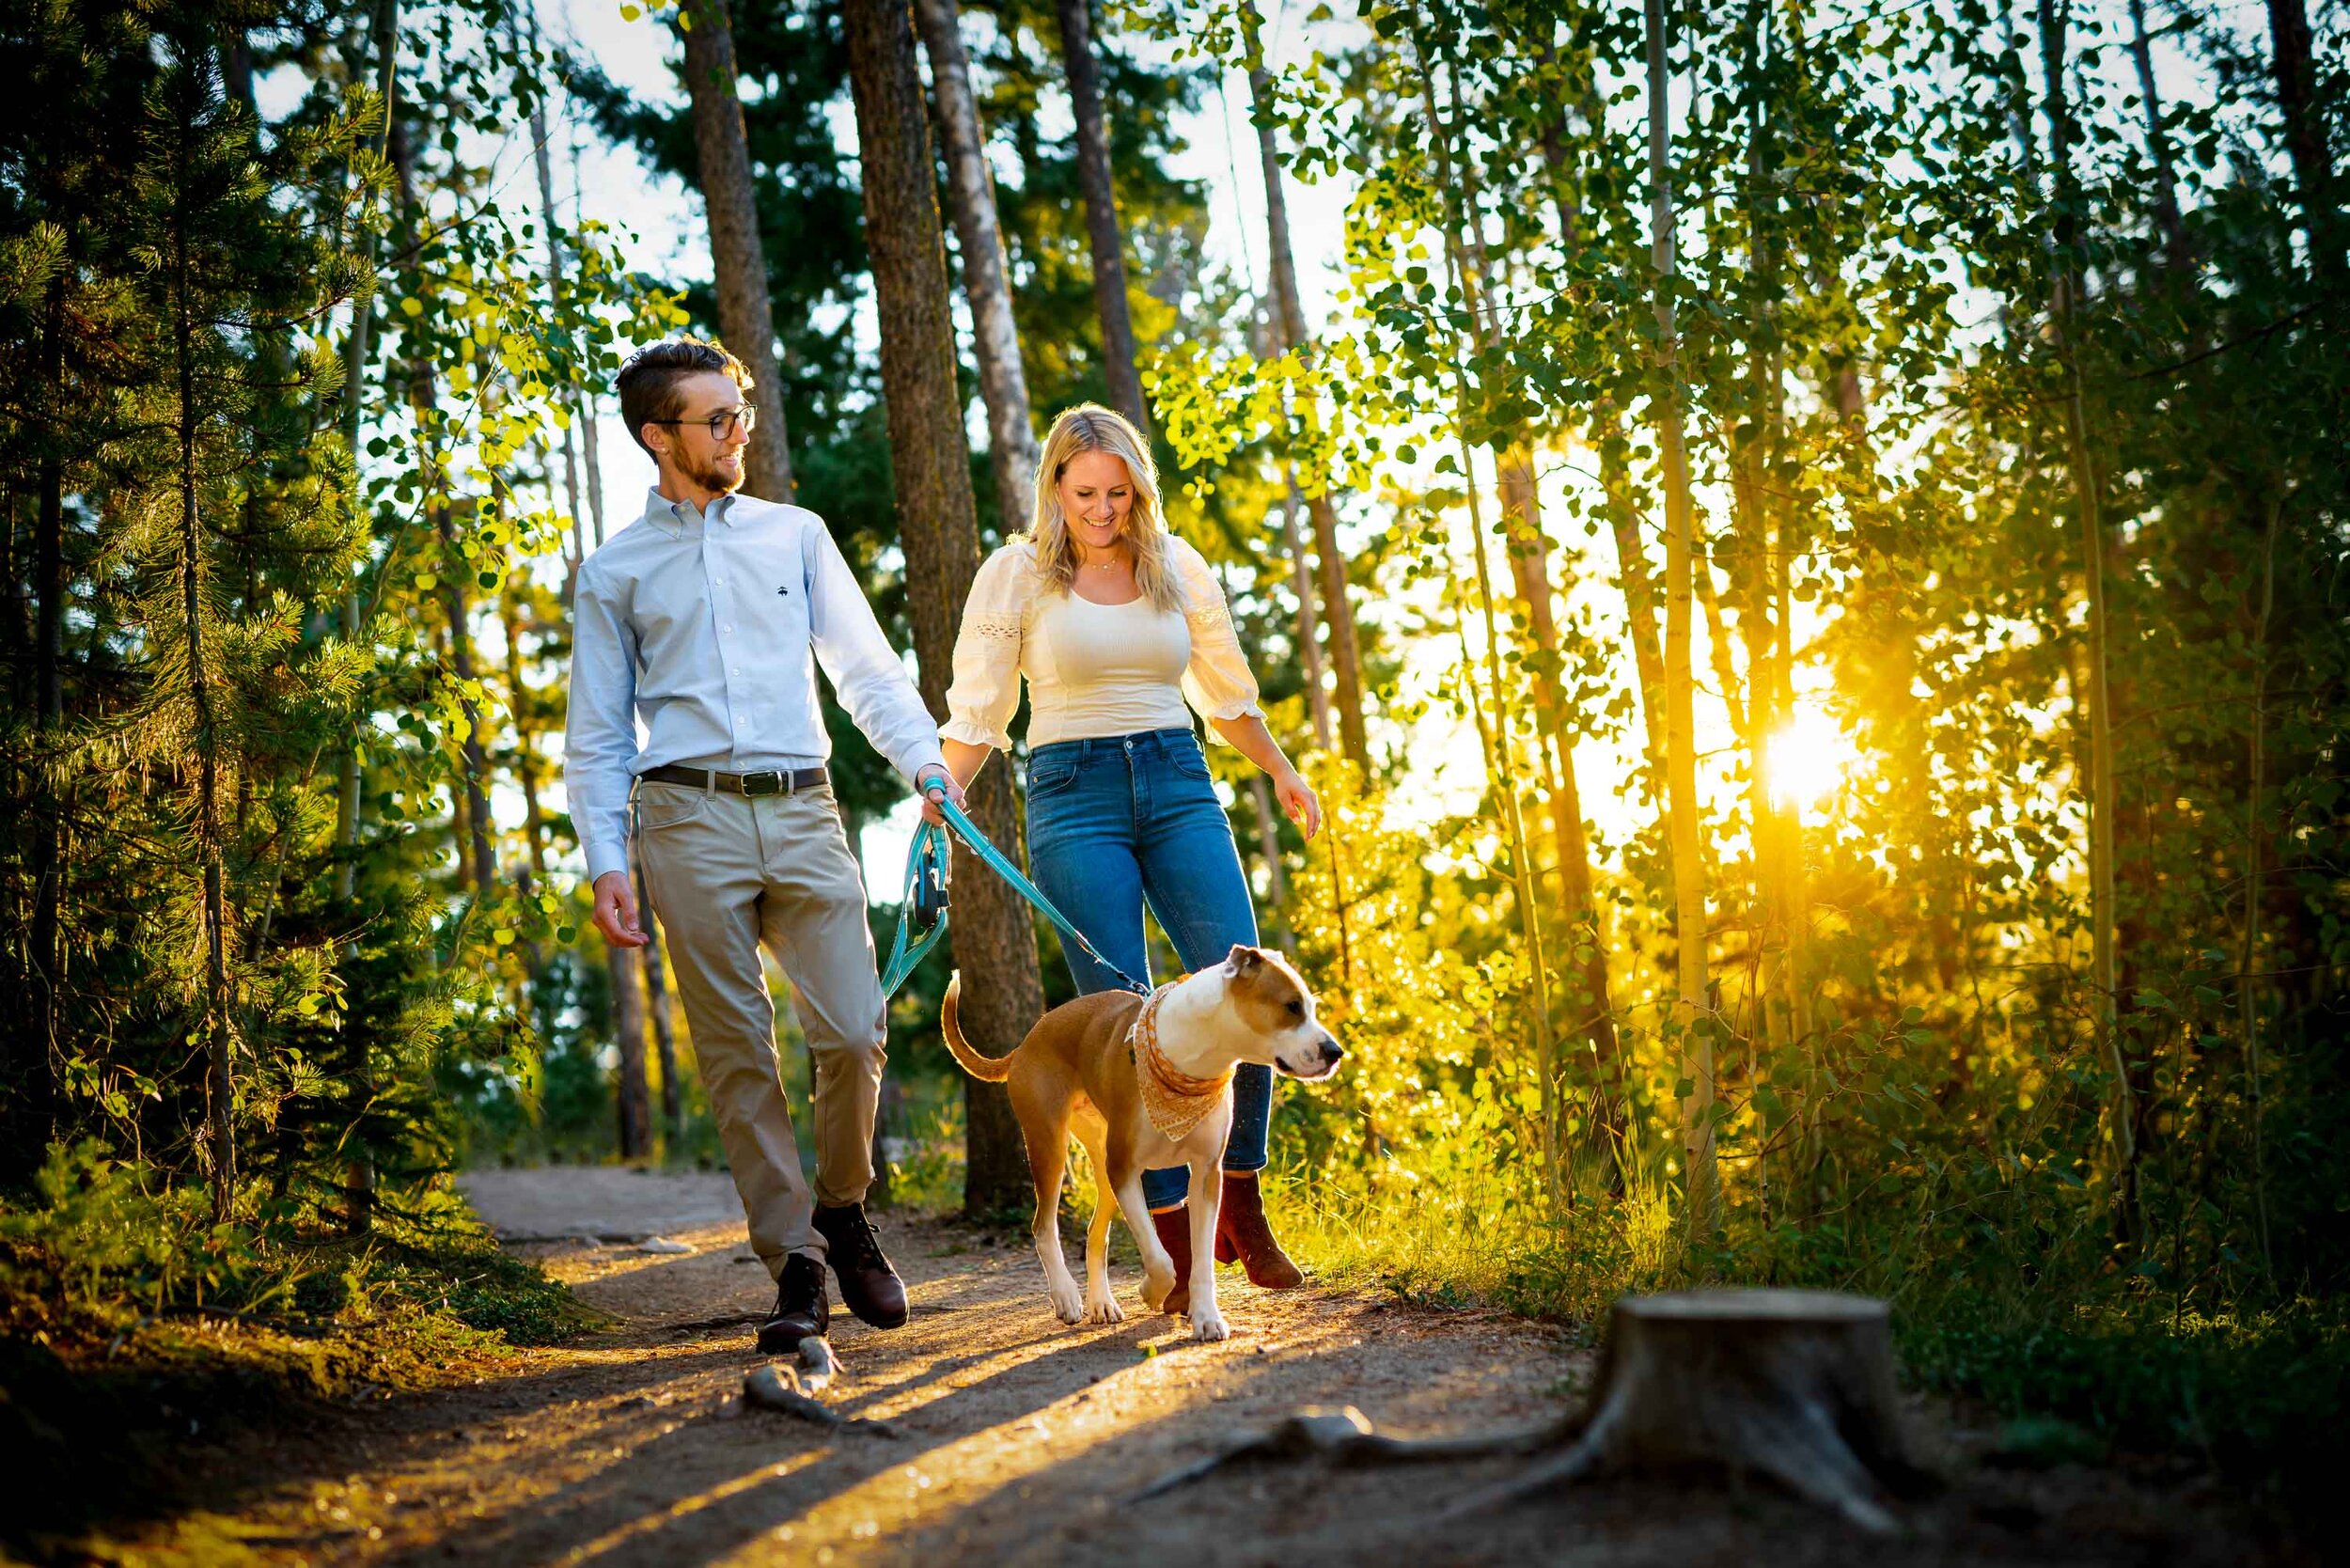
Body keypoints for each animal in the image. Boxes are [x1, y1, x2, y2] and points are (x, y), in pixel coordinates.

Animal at [935, 949, 1344, 1344]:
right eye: (1291, 1006)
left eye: (1311, 1006)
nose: (1335, 1051)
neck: (1190, 1055)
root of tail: (1030, 1037)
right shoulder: (1125, 1171)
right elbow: (1161, 1260)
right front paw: (1152, 1291)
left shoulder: (1206, 1175)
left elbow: (1200, 1262)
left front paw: (1207, 1318)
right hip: (1049, 1145)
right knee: (1043, 1227)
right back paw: (1067, 1296)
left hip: (1102, 1167)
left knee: (1094, 1236)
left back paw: (1100, 1302)